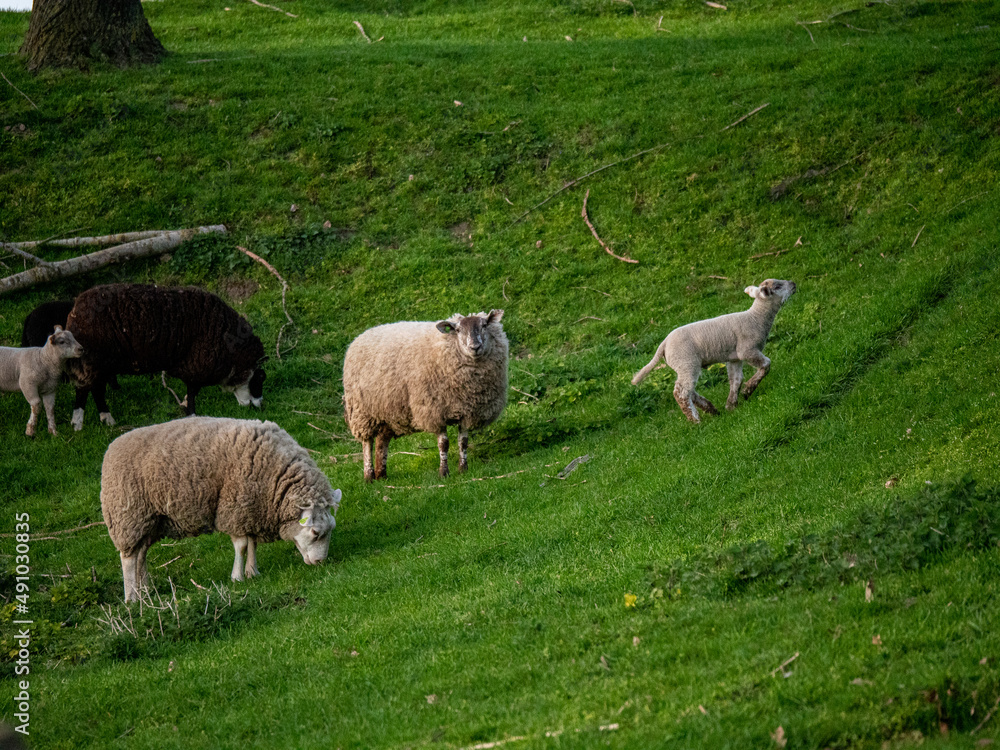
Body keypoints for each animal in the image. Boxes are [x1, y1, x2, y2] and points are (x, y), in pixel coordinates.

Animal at [65, 284, 267, 429]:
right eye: (258, 379)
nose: (259, 407)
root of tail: (75, 310)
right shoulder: (196, 364)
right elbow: (193, 390)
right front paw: (191, 414)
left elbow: (192, 390)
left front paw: (184, 404)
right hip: (92, 359)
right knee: (84, 389)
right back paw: (79, 423)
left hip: (103, 363)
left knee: (96, 389)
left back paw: (106, 419)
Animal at [100, 416, 342, 603]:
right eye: (315, 532)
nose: (320, 563)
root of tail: (111, 448)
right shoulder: (235, 507)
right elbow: (242, 546)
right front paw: (237, 578)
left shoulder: (251, 510)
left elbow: (252, 543)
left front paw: (253, 572)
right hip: (128, 515)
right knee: (128, 558)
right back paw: (131, 597)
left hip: (150, 521)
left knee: (140, 554)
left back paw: (145, 590)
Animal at [343, 310, 508, 481]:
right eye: (457, 330)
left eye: (484, 325)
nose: (475, 347)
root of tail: (359, 337)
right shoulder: (435, 411)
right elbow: (444, 444)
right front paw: (444, 473)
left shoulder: (467, 411)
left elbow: (463, 442)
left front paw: (463, 470)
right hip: (362, 412)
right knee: (367, 442)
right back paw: (369, 476)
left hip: (386, 412)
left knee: (382, 441)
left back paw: (382, 475)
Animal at [631, 279, 797, 423]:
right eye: (777, 286)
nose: (794, 284)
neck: (756, 318)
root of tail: (664, 344)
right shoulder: (747, 350)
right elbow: (766, 364)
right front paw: (748, 390)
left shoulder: (734, 357)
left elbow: (736, 379)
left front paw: (731, 405)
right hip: (687, 362)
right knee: (681, 392)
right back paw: (696, 421)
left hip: (685, 365)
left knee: (689, 390)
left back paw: (712, 410)